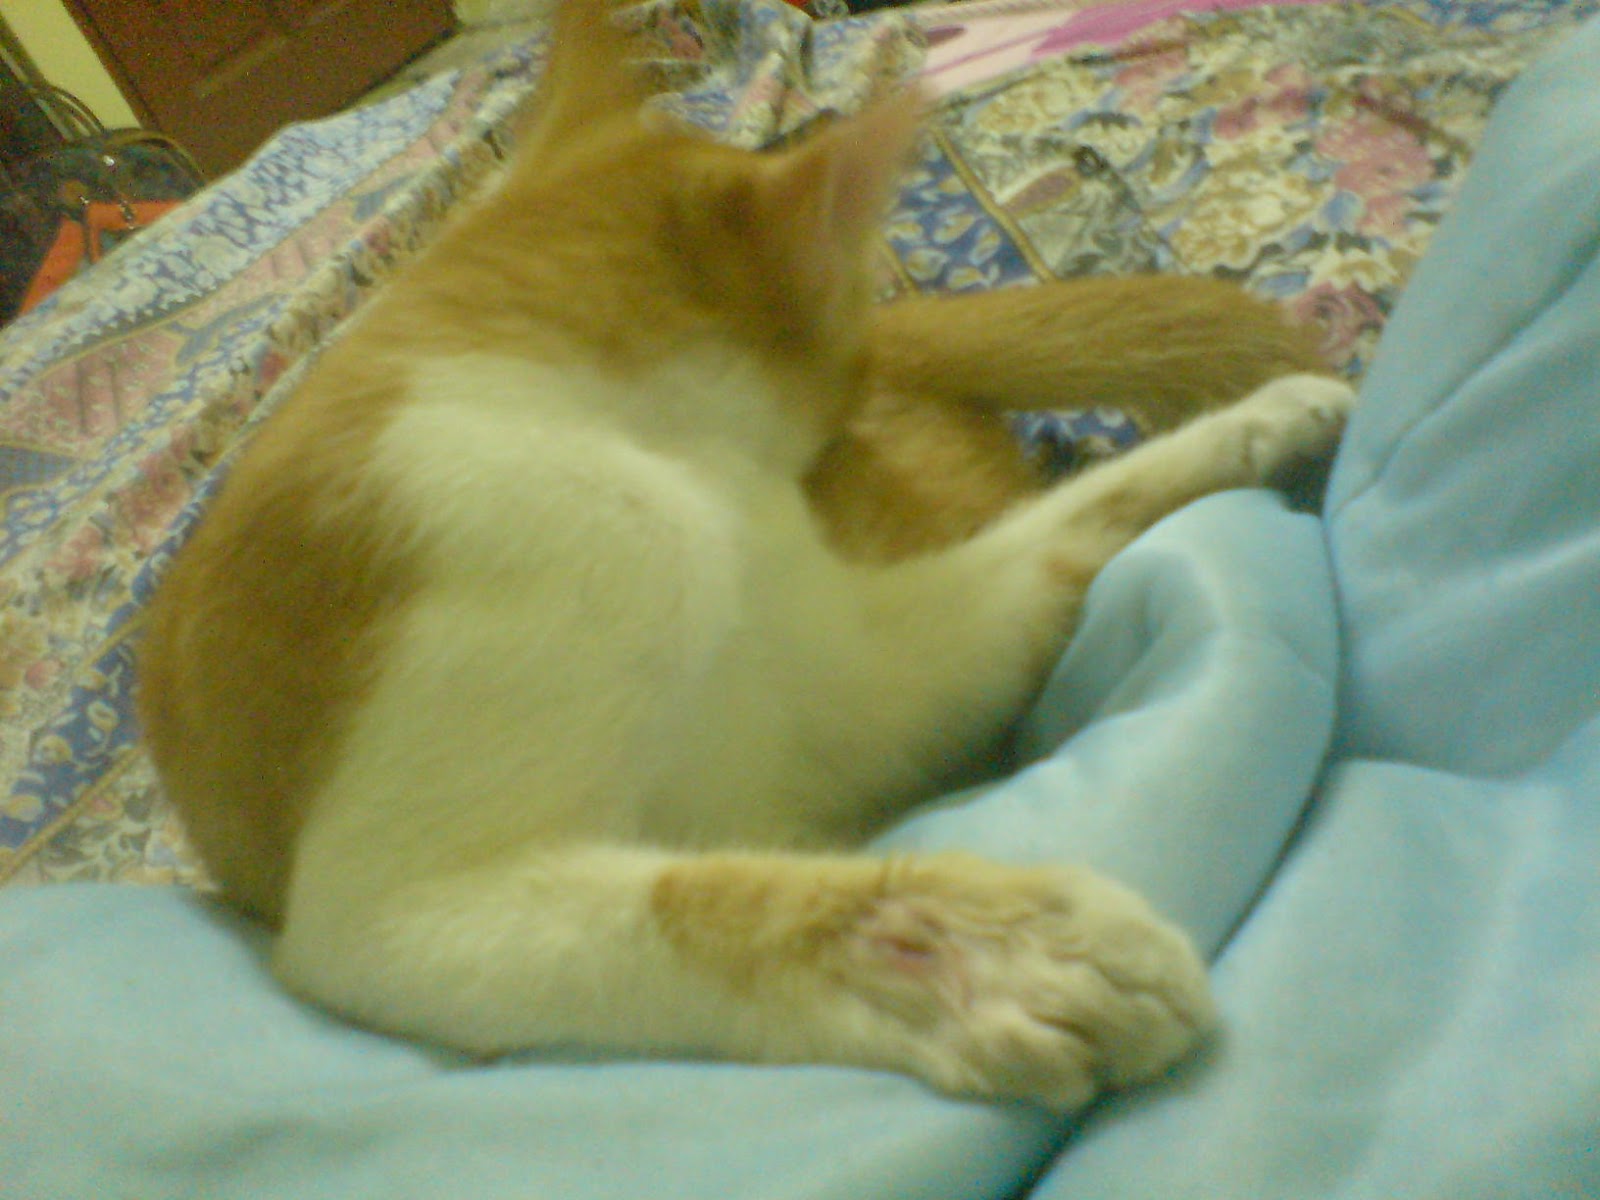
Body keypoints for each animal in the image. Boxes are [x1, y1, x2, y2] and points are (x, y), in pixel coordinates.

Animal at [136, 0, 1352, 1111]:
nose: (851, 400)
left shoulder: (853, 687)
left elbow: (1077, 526)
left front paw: (1268, 421)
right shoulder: (392, 907)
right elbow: (697, 905)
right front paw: (990, 955)